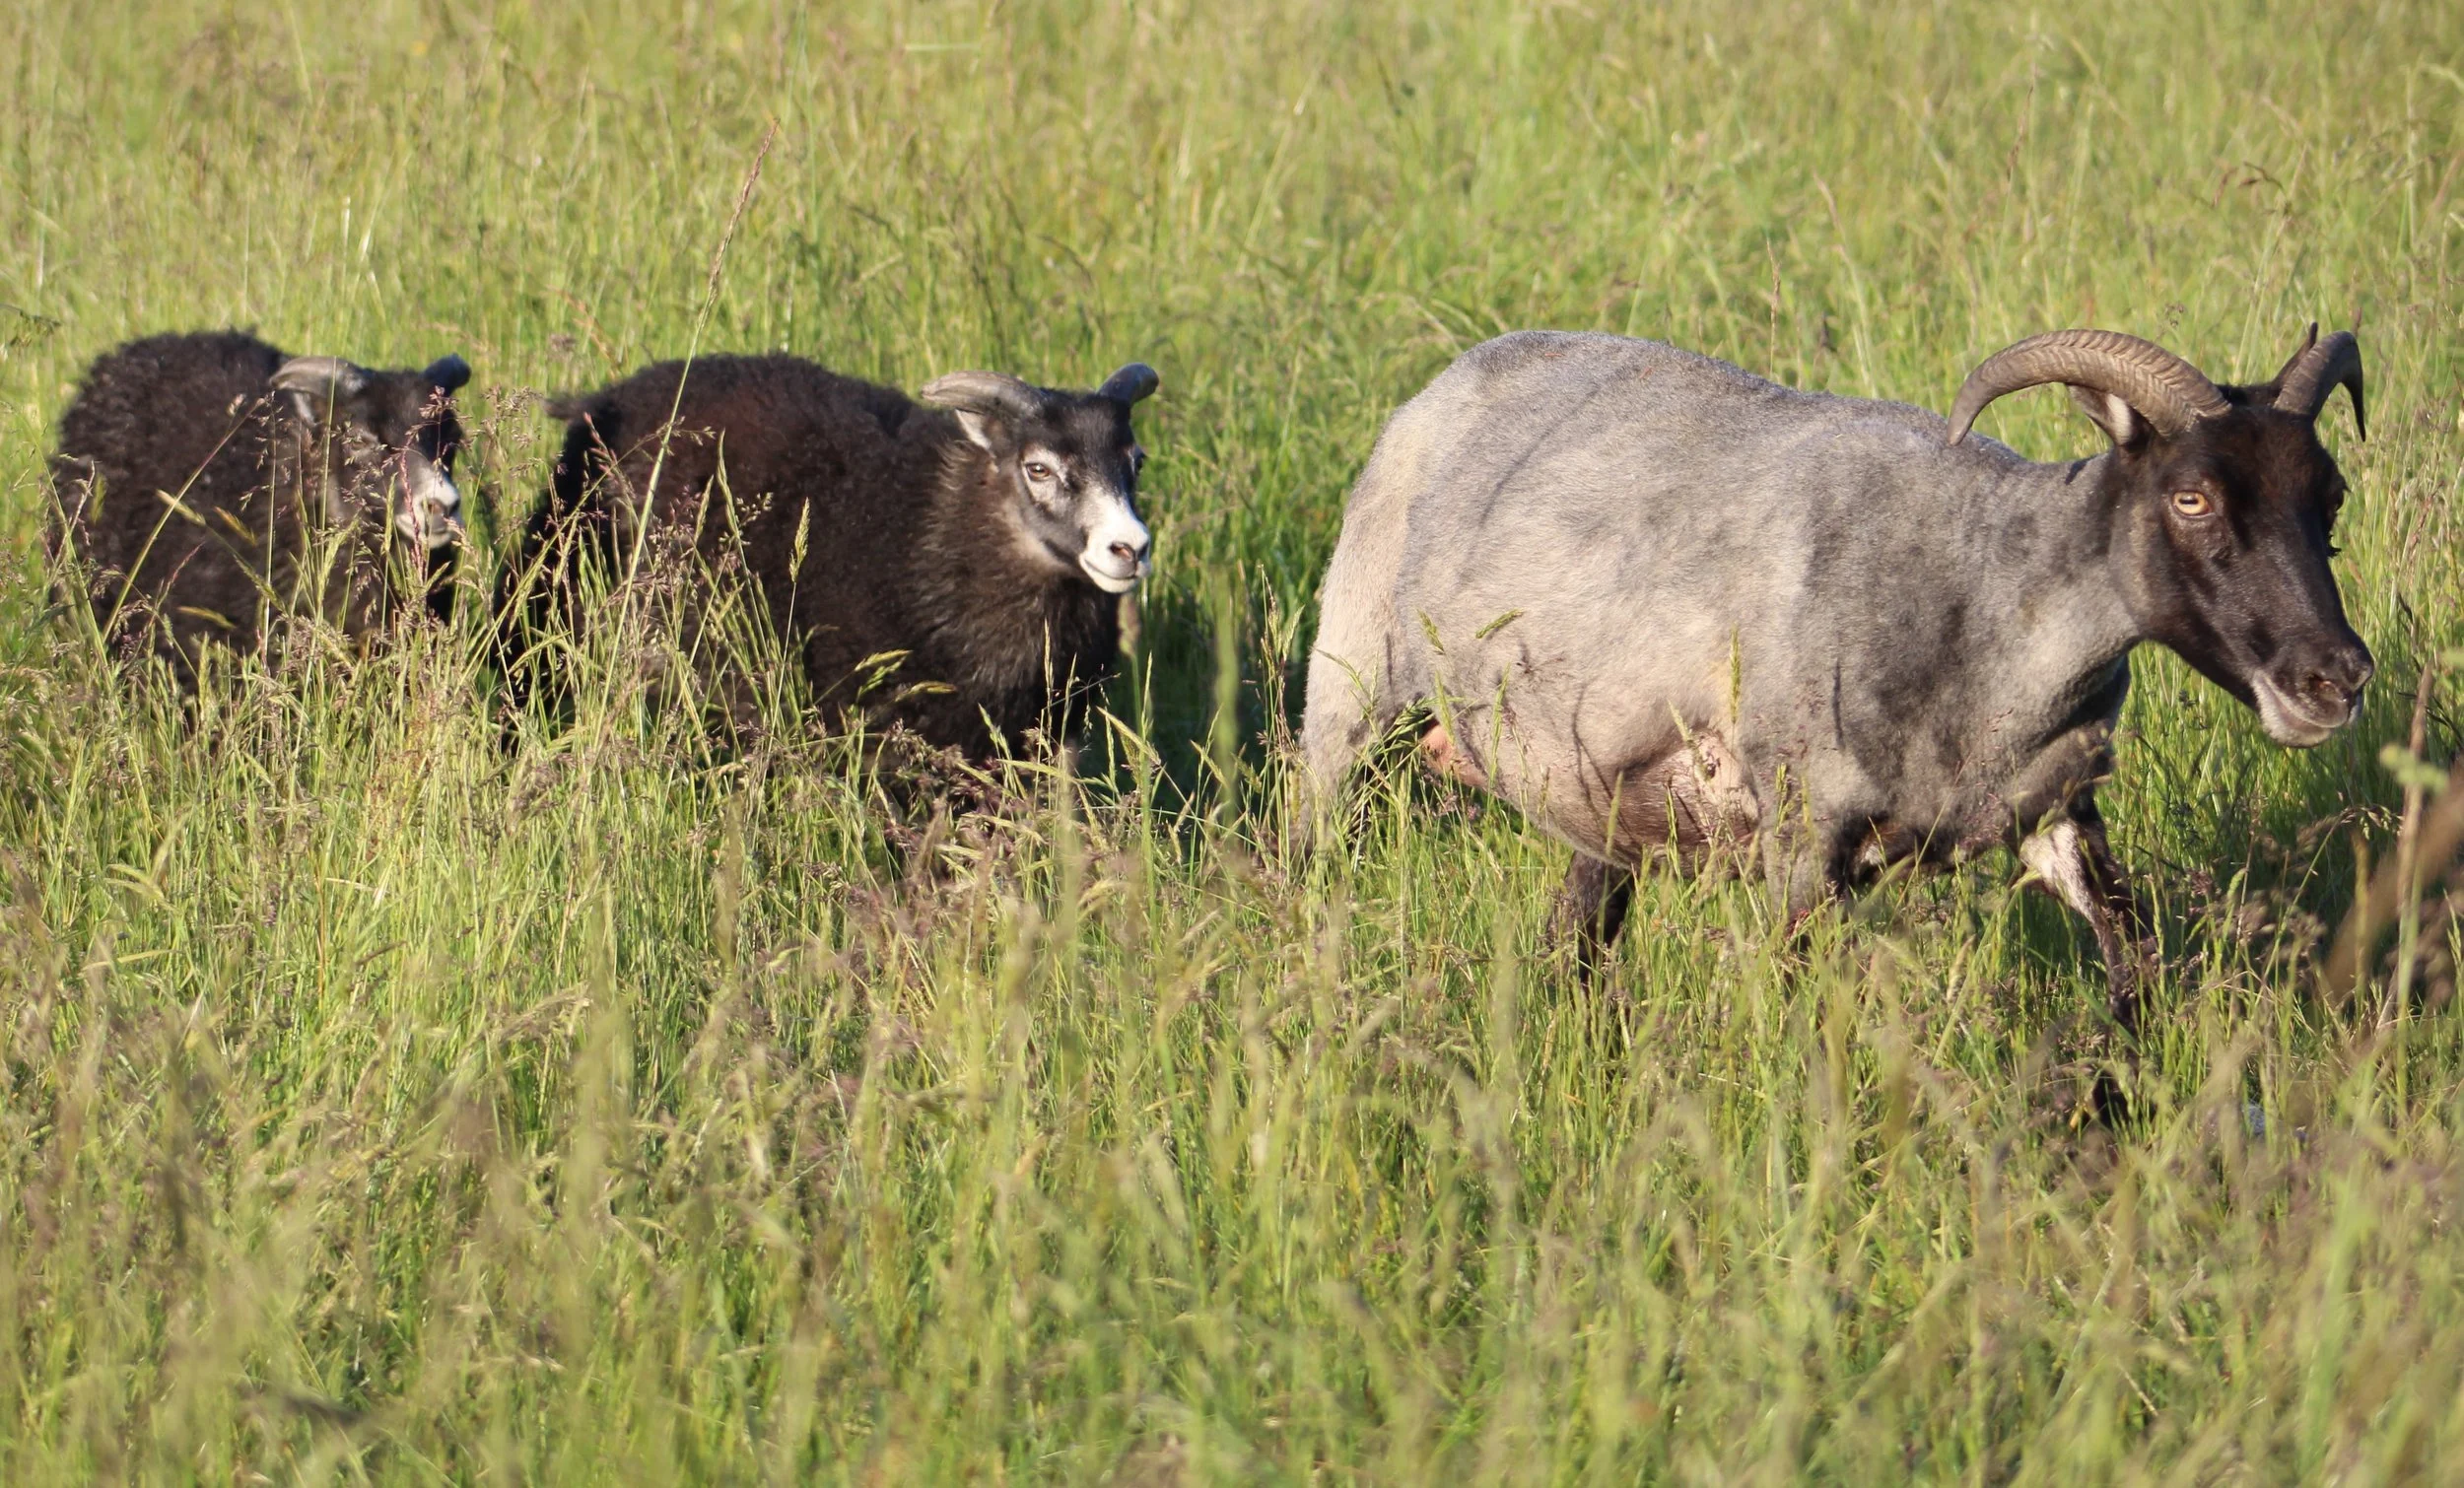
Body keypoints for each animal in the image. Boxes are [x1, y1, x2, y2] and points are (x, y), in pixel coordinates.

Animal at [1301, 325, 2372, 1022]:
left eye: (2330, 494)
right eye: (2191, 497)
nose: (2336, 679)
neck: (1988, 592)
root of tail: (1447, 382)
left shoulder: (2056, 807)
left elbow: (2134, 955)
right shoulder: (1804, 830)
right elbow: (1795, 1004)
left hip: (1601, 798)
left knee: (1575, 943)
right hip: (1352, 695)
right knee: (1311, 853)